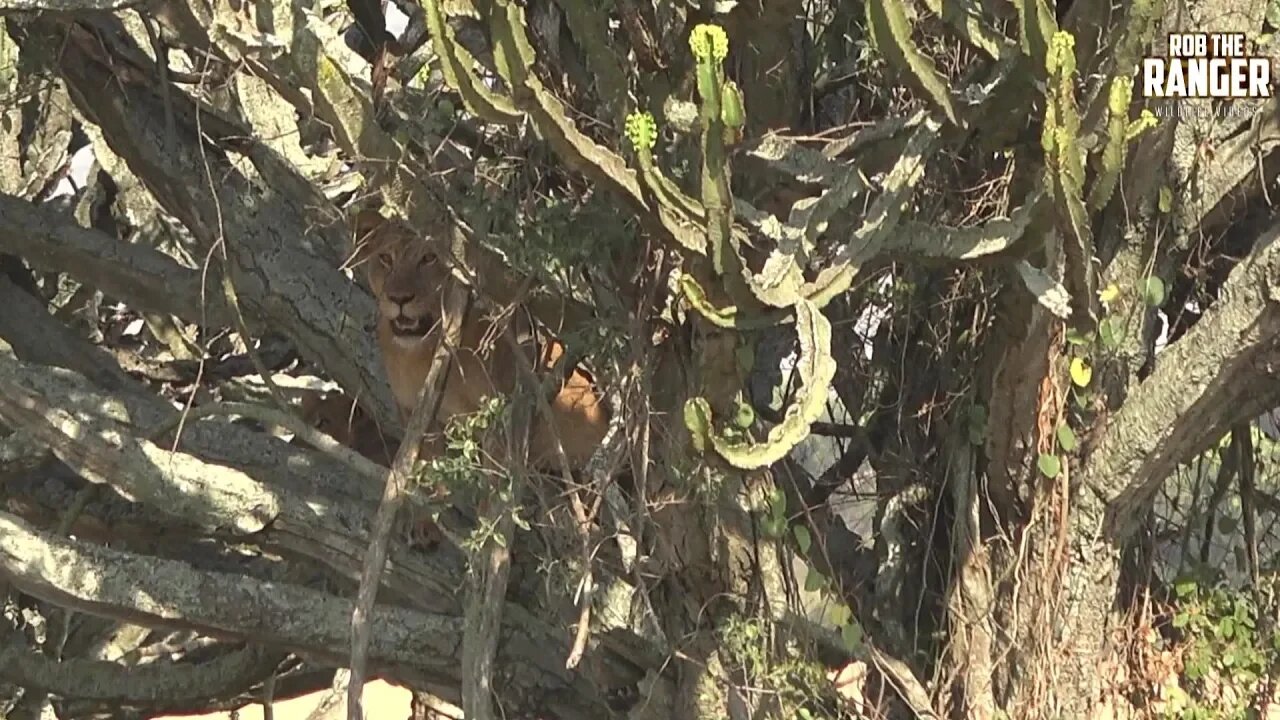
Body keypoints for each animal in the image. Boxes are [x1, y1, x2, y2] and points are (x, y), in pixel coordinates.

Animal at [350, 206, 609, 471]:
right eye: (385, 258)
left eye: (429, 258)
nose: (399, 298)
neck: (418, 352)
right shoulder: (418, 419)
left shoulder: (500, 422)